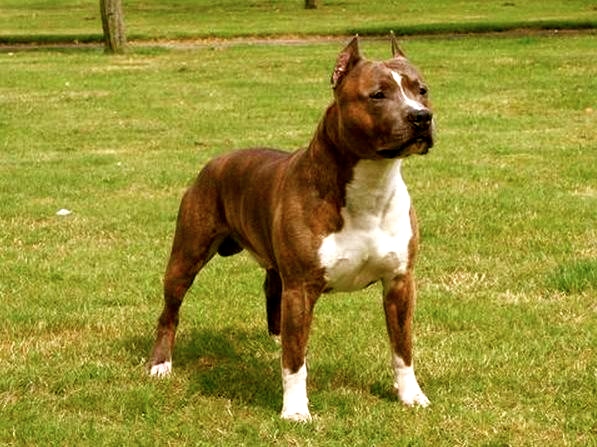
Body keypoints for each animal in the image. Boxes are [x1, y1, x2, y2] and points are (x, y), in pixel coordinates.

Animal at [149, 35, 434, 422]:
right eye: (377, 95)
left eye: (422, 90)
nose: (421, 117)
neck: (371, 187)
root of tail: (215, 162)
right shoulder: (300, 288)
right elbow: (296, 361)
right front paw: (296, 411)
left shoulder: (400, 282)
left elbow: (402, 347)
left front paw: (411, 395)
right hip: (185, 257)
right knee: (170, 312)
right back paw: (160, 364)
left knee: (271, 288)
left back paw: (275, 338)